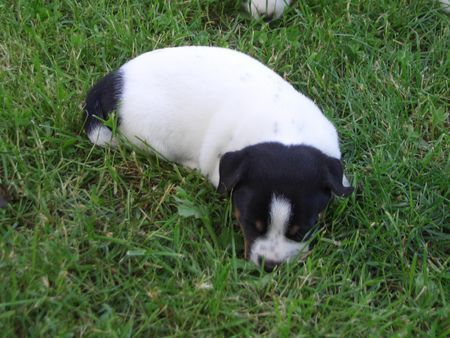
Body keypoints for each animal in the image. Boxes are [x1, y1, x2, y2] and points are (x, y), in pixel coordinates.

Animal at [83, 45, 352, 272]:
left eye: (302, 231)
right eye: (249, 223)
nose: (269, 266)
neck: (285, 129)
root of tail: (110, 85)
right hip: (151, 137)